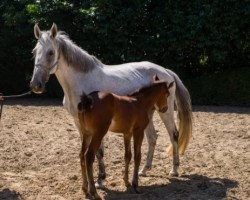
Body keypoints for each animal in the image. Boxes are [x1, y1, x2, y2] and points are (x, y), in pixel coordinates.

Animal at [30, 23, 192, 194]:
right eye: (34, 52)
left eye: (50, 52)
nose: (36, 85)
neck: (81, 81)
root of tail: (165, 71)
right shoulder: (80, 123)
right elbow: (92, 152)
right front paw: (98, 180)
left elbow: (98, 151)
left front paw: (100, 179)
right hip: (149, 113)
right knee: (153, 137)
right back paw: (144, 170)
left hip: (165, 111)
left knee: (174, 134)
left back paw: (174, 170)